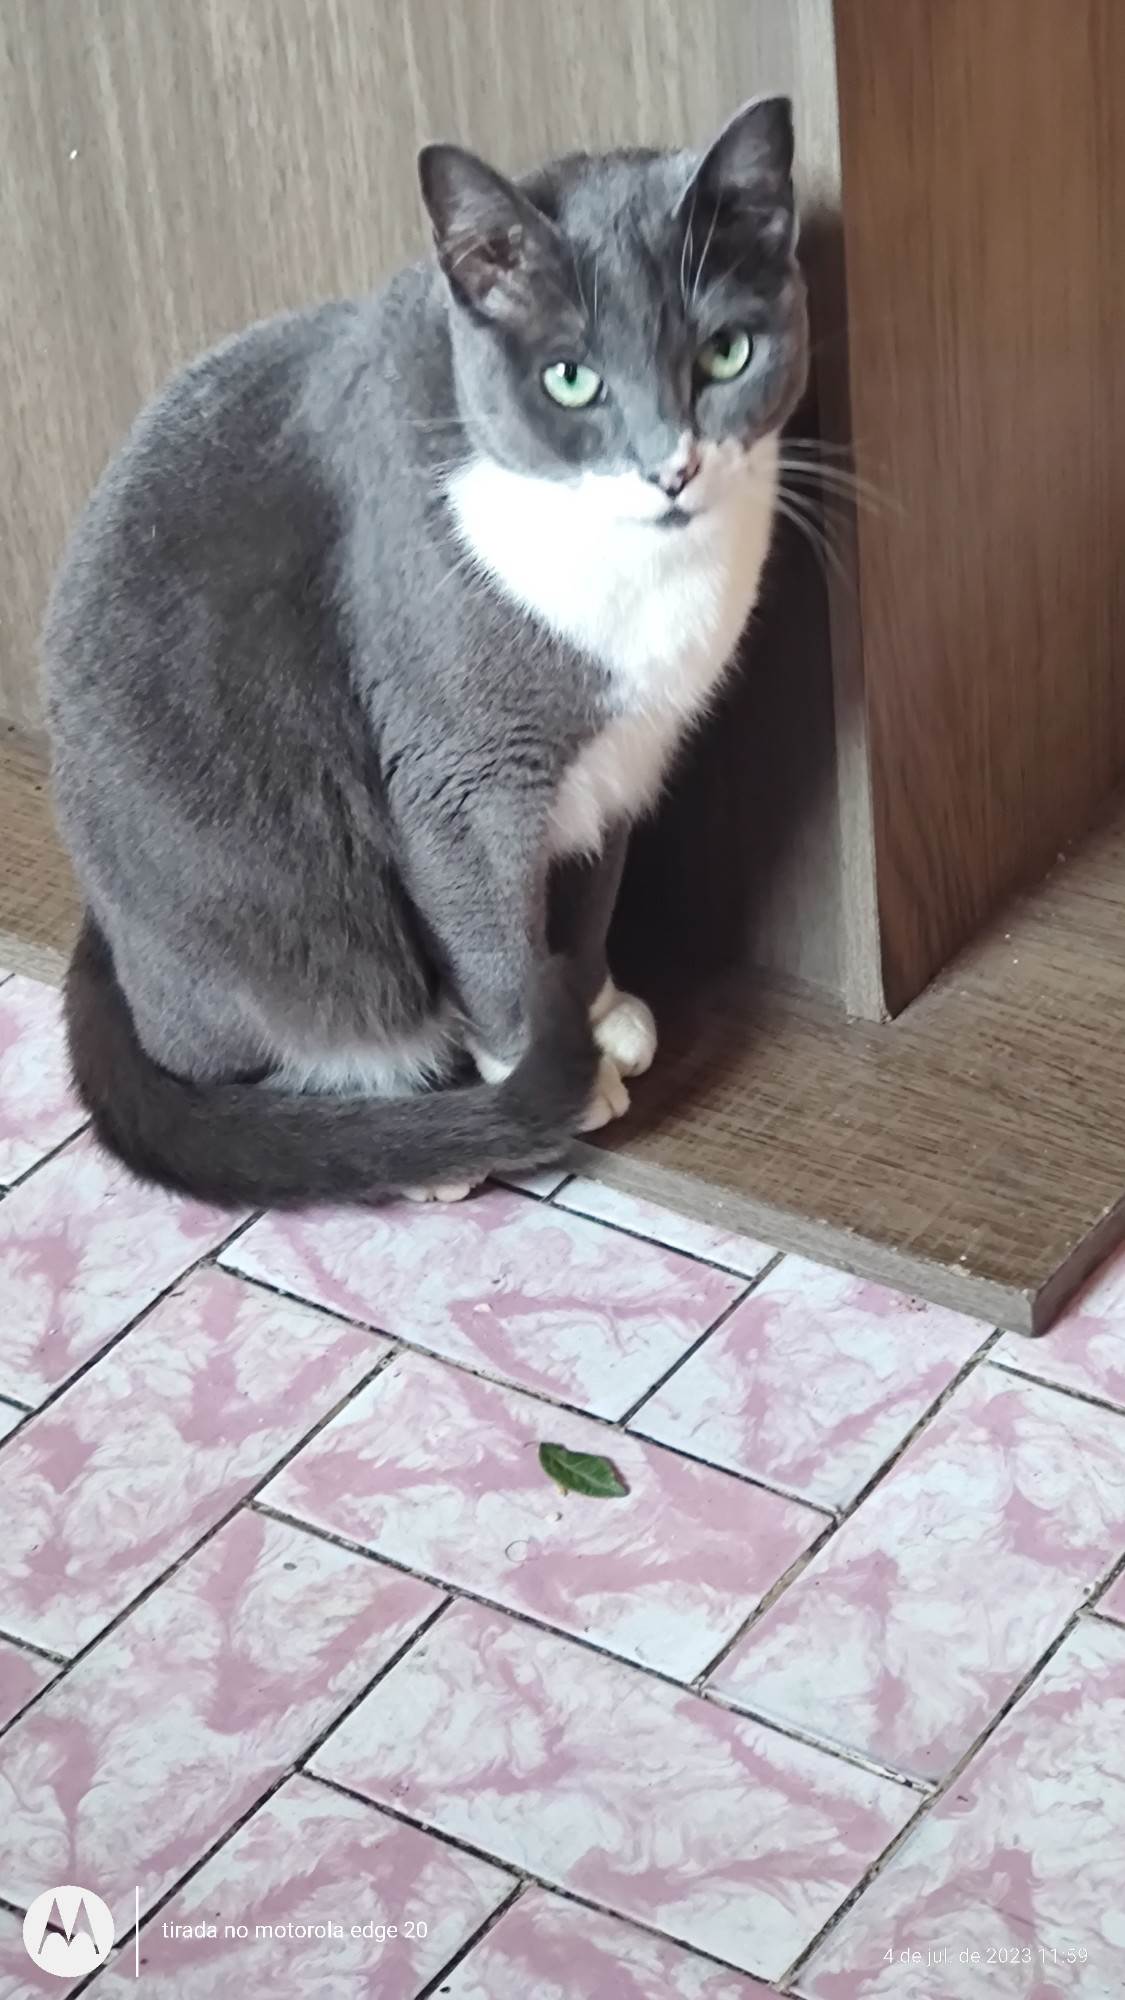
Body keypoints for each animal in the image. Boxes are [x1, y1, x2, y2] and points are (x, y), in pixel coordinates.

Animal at [45, 94, 808, 1208]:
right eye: (571, 378)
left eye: (724, 355)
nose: (669, 468)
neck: (641, 583)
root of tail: (105, 926)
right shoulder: (460, 779)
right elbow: (490, 934)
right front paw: (546, 1070)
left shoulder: (626, 761)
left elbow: (586, 899)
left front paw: (599, 1008)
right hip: (268, 918)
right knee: (239, 1054)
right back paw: (418, 1142)